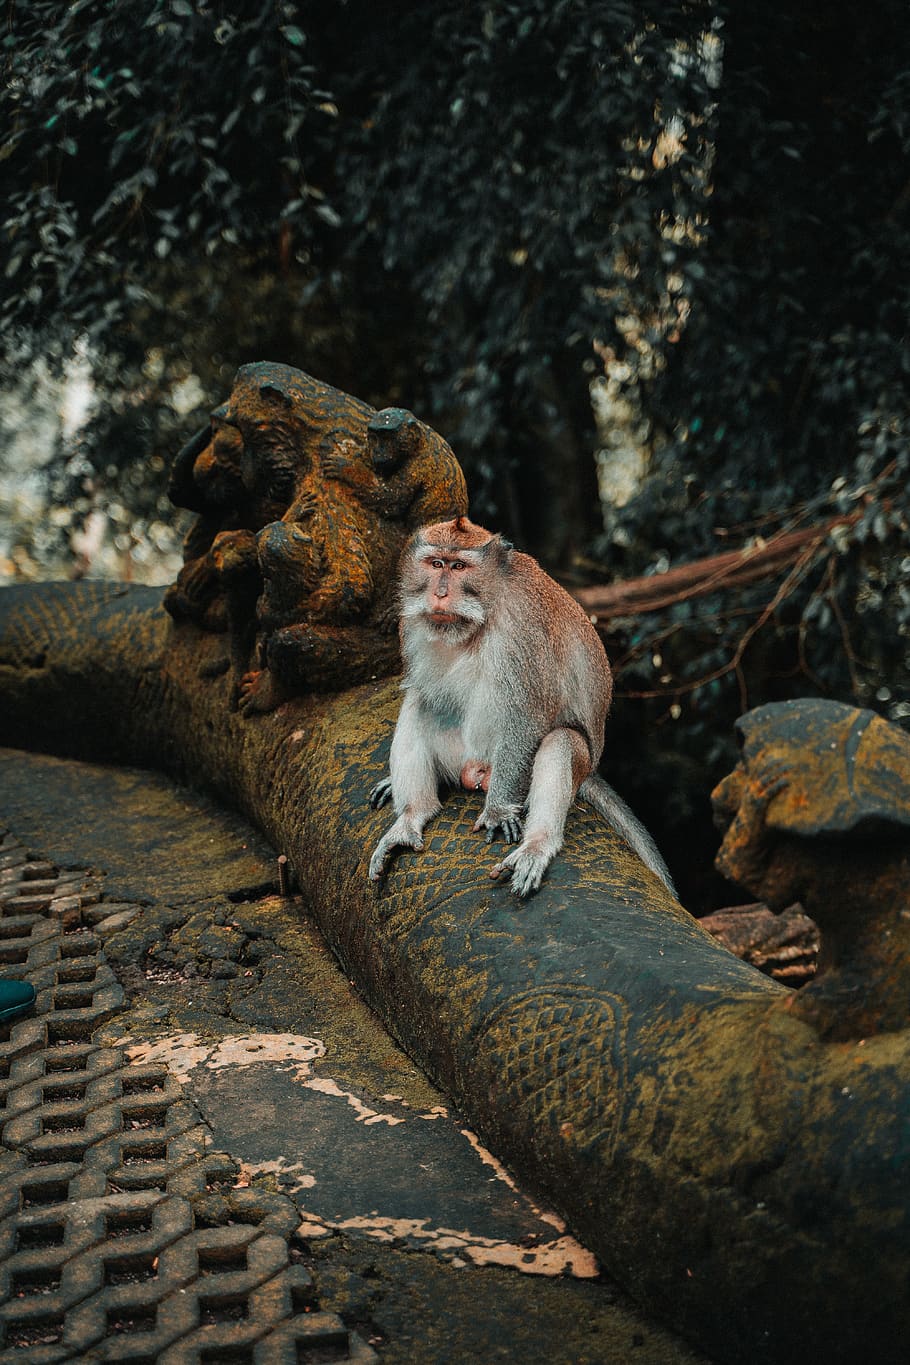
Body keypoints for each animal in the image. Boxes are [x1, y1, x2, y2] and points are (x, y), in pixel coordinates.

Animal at [368, 515, 675, 898]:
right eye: (436, 564)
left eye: (459, 567)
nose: (439, 594)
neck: (481, 614)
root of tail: (475, 771)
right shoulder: (411, 624)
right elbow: (423, 691)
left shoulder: (522, 626)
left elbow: (526, 714)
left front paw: (498, 812)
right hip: (458, 755)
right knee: (420, 702)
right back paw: (411, 817)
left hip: (532, 768)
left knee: (561, 741)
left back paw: (537, 845)